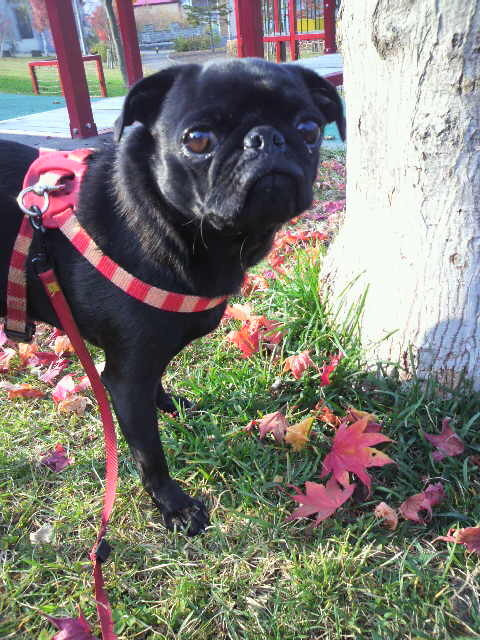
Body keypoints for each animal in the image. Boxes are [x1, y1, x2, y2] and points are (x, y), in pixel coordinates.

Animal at [0, 58, 344, 536]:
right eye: (197, 140)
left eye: (310, 129)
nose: (266, 139)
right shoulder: (126, 378)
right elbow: (150, 454)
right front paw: (174, 506)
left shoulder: (144, 359)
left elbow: (158, 381)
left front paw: (169, 404)